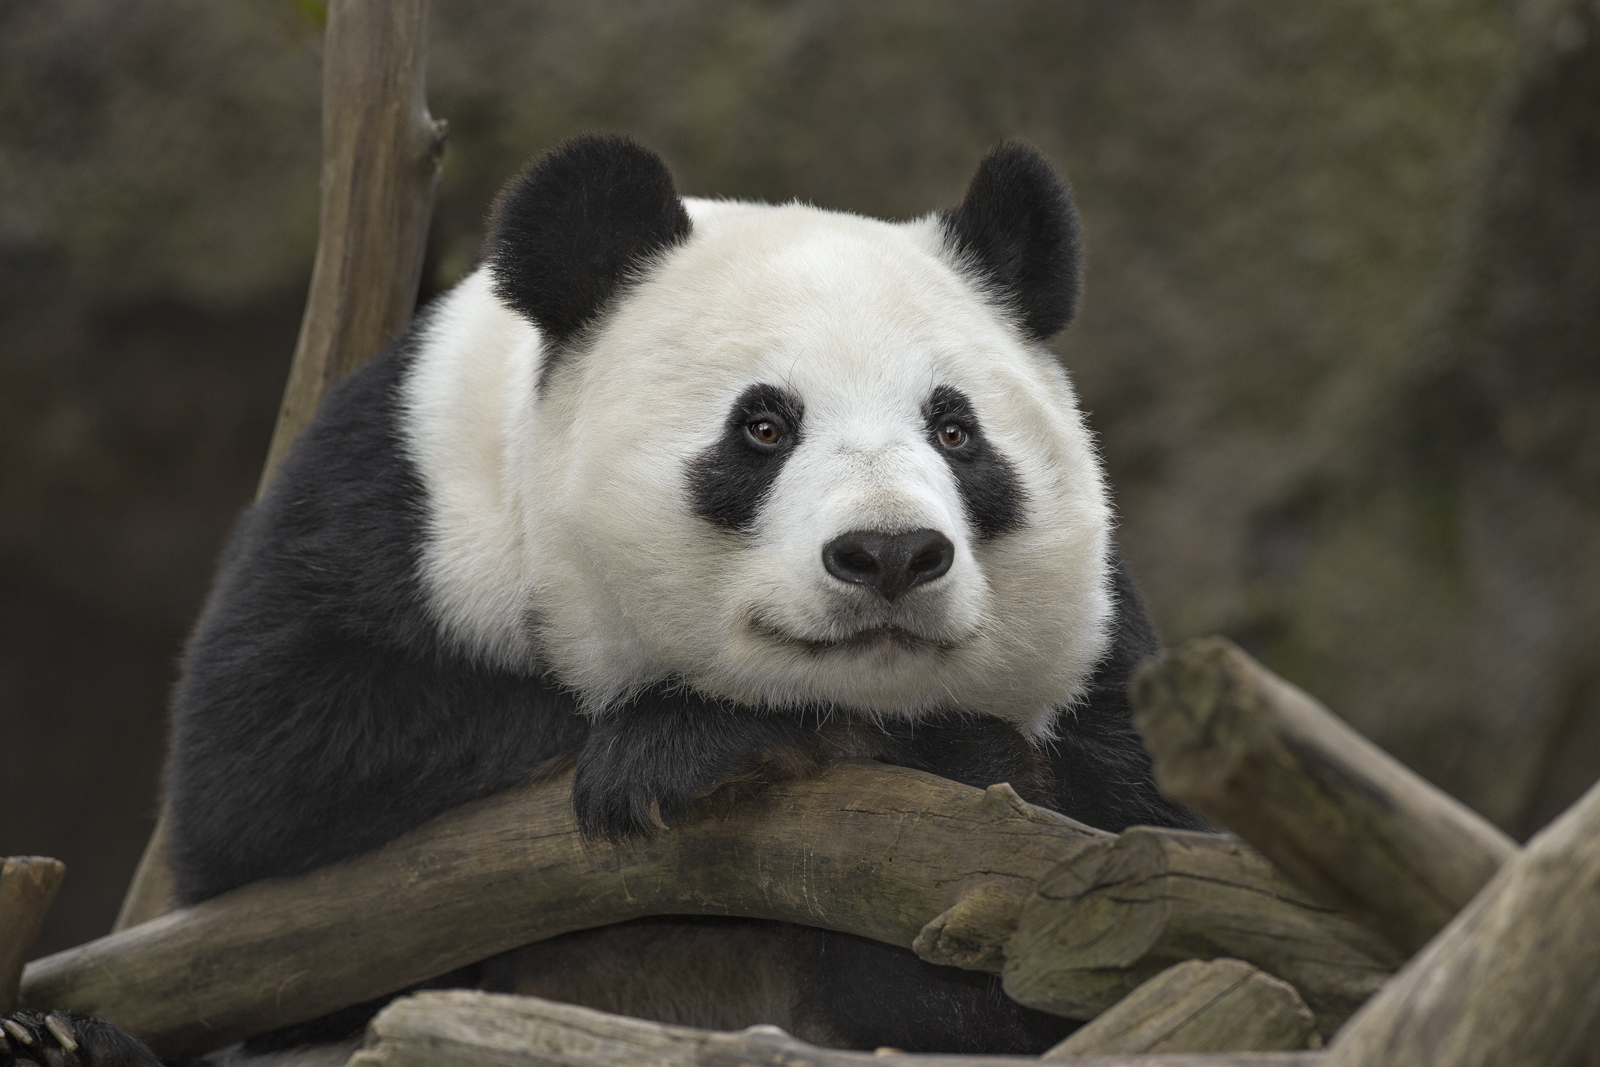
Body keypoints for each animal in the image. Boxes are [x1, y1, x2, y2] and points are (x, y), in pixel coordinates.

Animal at [0, 135, 1203, 1067]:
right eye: (763, 425)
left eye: (955, 429)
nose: (891, 553)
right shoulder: (401, 491)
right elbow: (263, 772)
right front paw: (690, 741)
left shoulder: (1101, 668)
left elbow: (1103, 894)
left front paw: (947, 756)